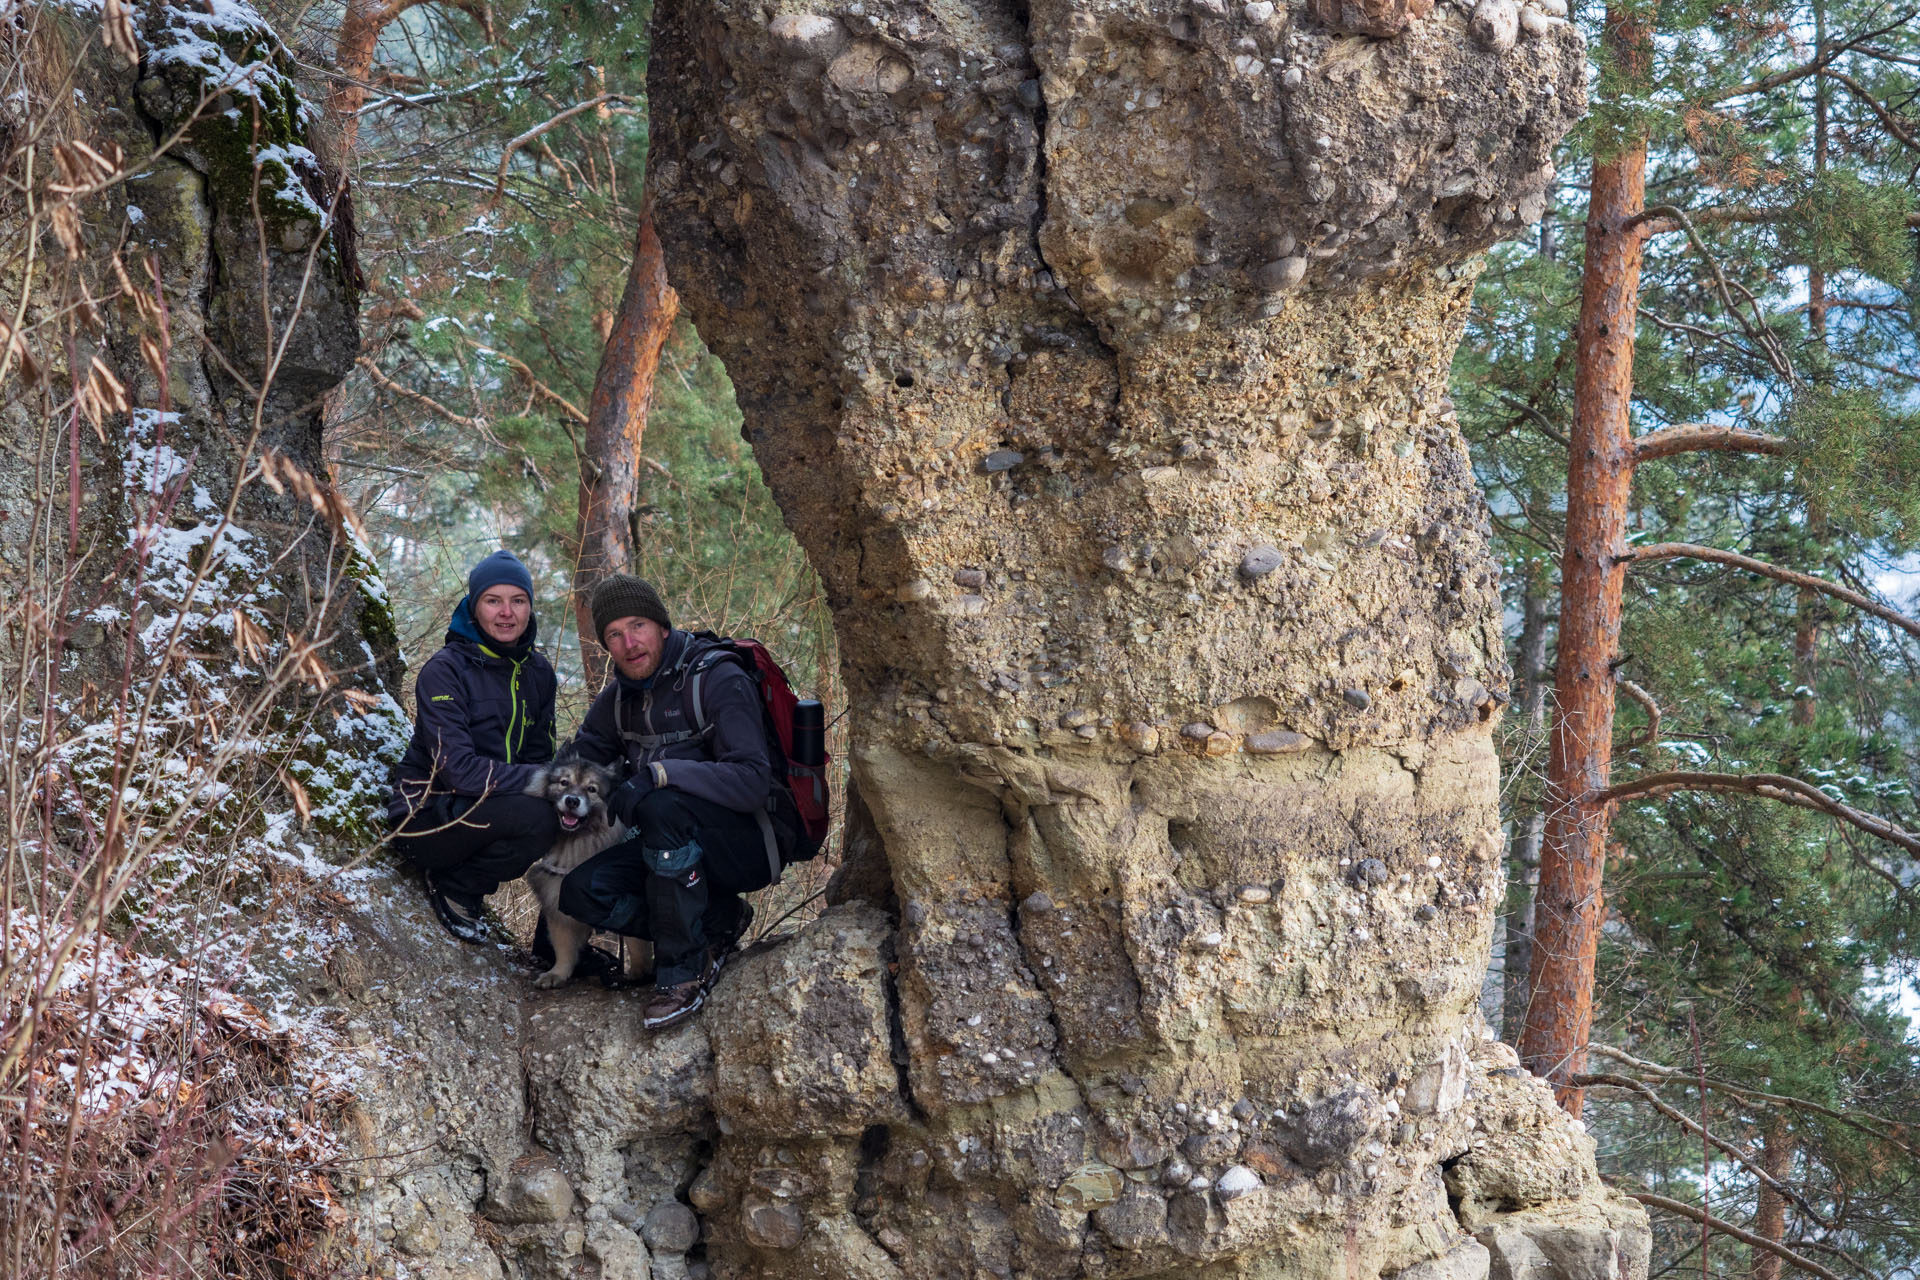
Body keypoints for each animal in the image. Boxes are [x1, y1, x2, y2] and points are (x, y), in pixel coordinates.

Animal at [522, 759, 648, 990]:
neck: (575, 842)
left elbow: (636, 943)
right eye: (564, 782)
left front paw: (639, 974)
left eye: (591, 789)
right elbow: (563, 946)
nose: (572, 800)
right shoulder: (556, 901)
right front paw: (557, 974)